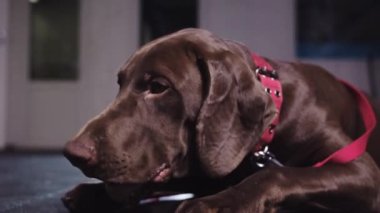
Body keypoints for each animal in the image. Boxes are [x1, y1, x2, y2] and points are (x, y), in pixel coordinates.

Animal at [61, 28, 380, 213]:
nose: (73, 153)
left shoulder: (362, 170)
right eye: (120, 83)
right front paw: (94, 193)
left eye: (158, 87)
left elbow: (276, 174)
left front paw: (218, 202)